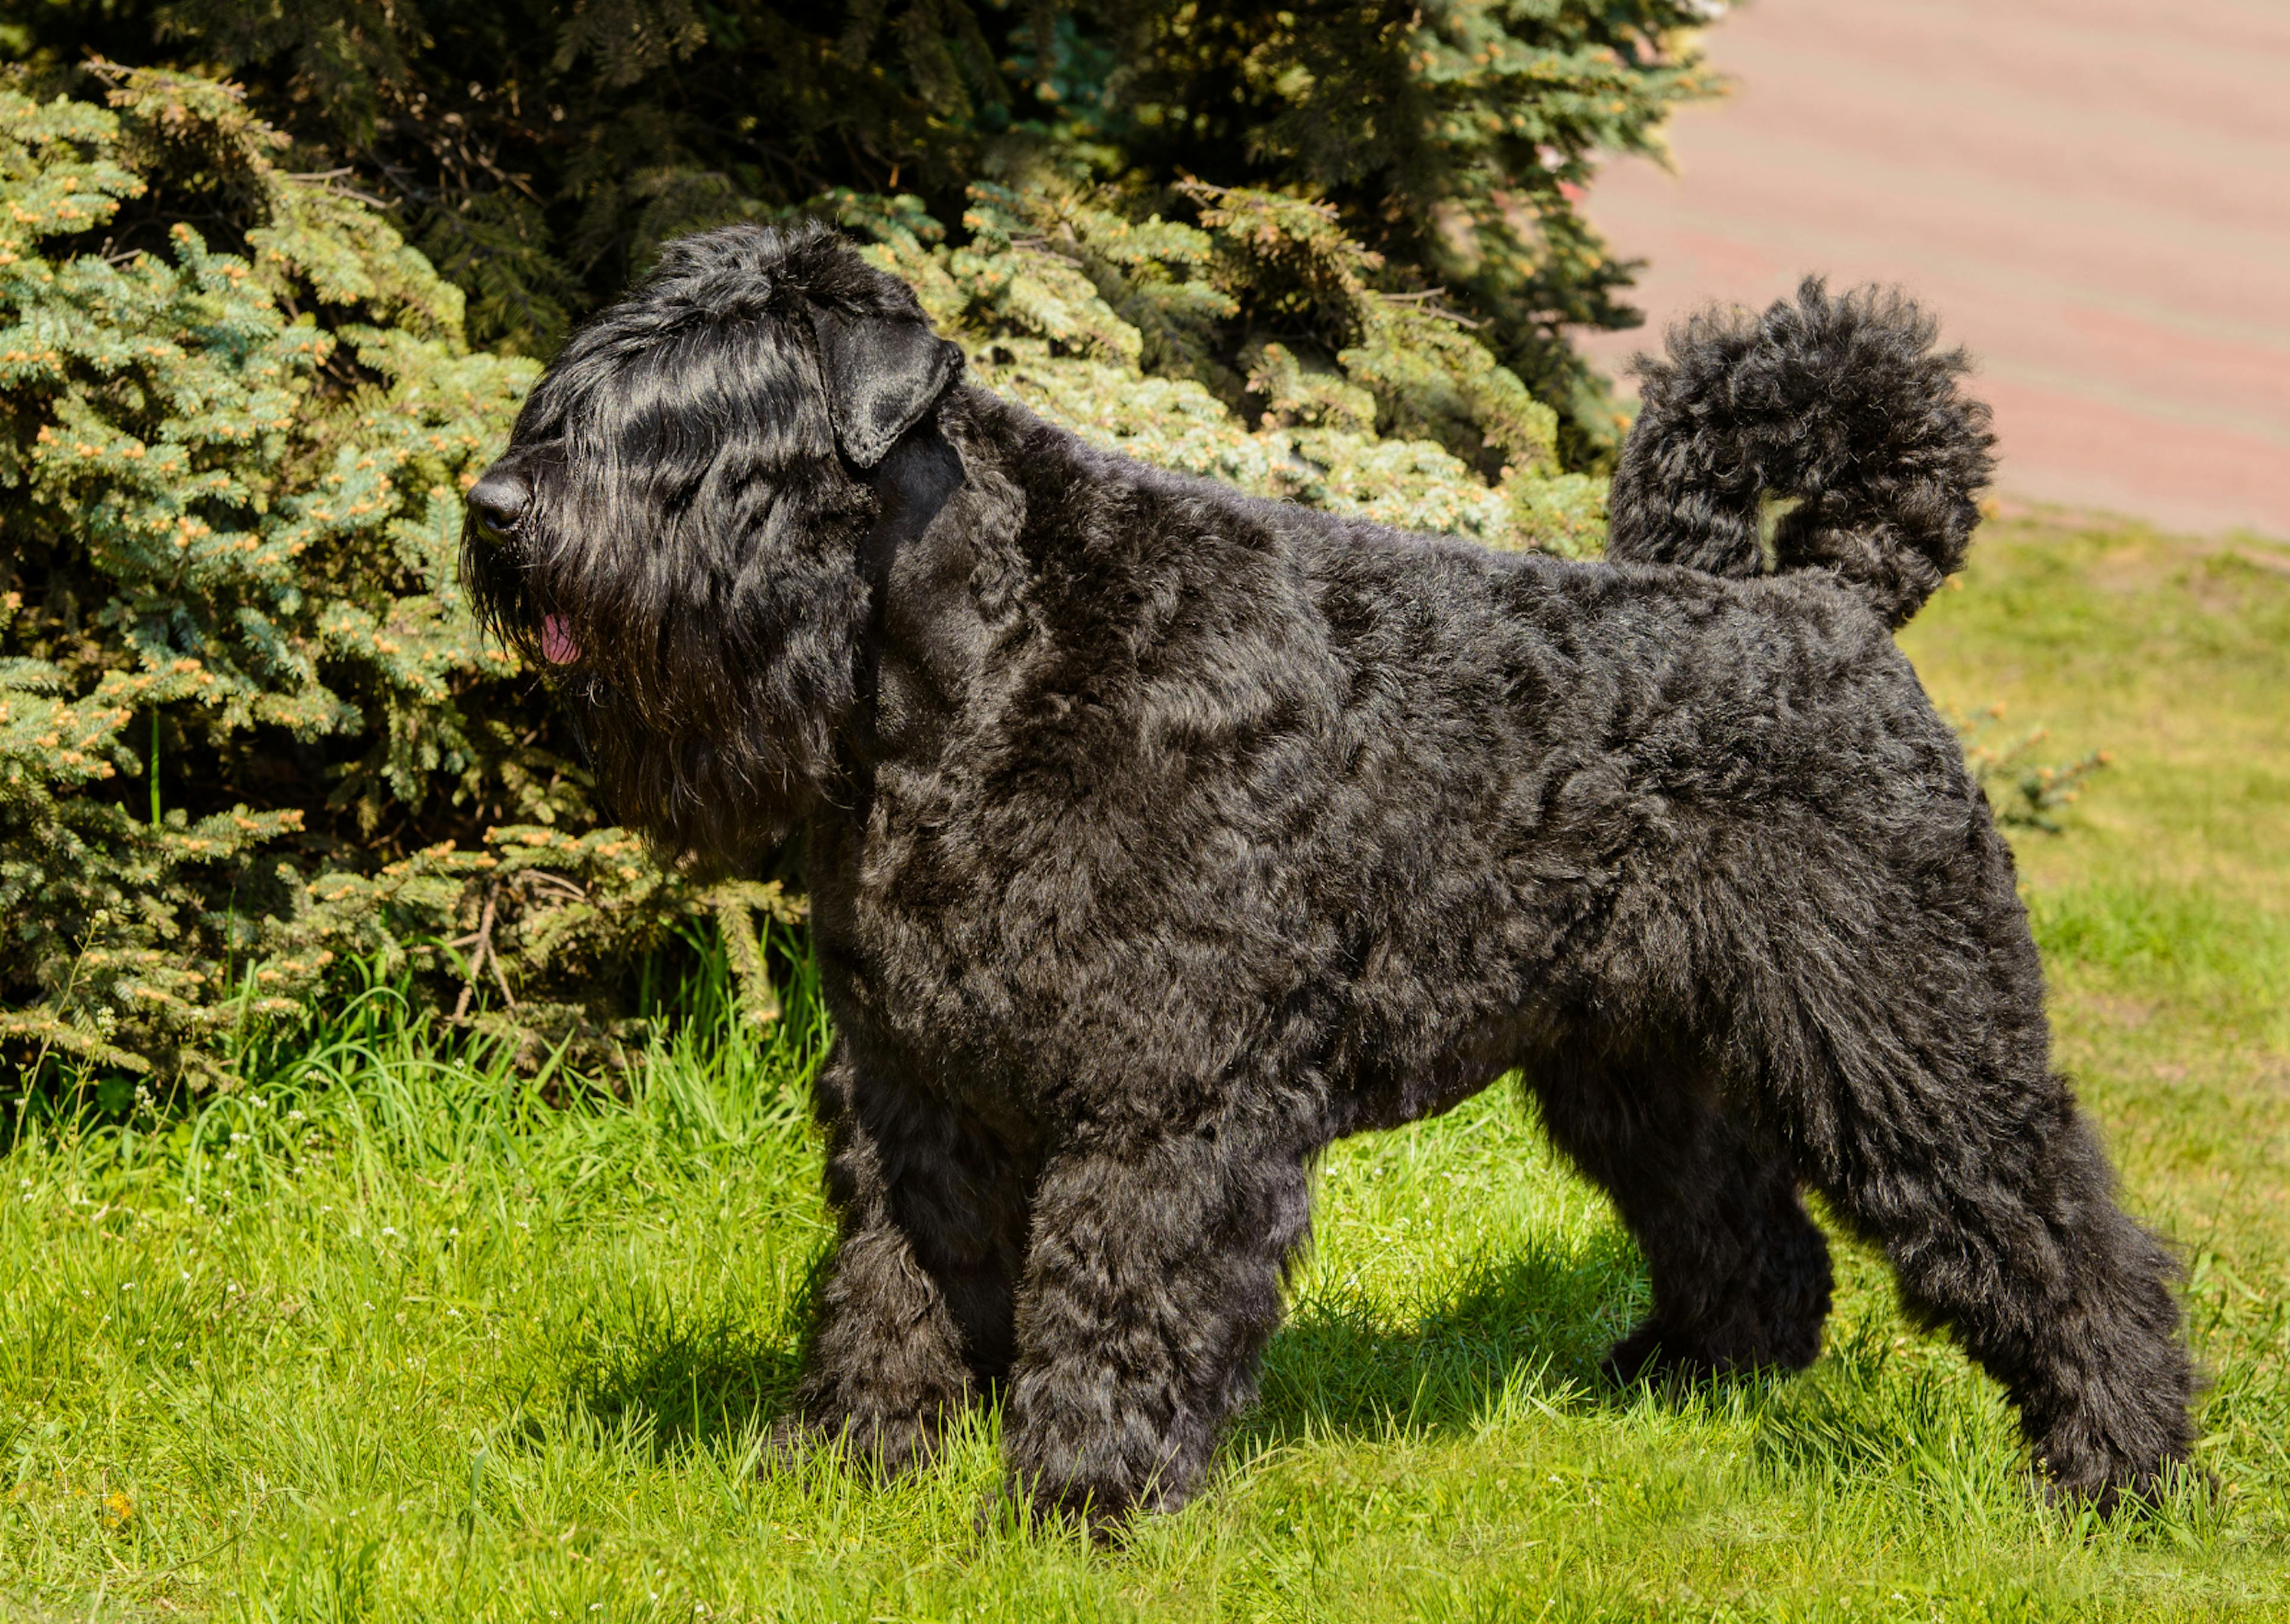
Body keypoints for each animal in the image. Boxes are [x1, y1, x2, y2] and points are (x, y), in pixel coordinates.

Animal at [465, 224, 2198, 1521]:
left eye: (702, 426)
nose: (495, 506)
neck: (983, 661)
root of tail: (1828, 598)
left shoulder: (1166, 1088)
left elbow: (1119, 1295)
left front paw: (1078, 1506)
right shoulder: (914, 1079)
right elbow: (894, 1278)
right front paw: (842, 1461)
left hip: (1906, 1029)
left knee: (2059, 1231)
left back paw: (2113, 1472)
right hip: (1632, 1062)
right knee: (1746, 1227)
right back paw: (1690, 1385)